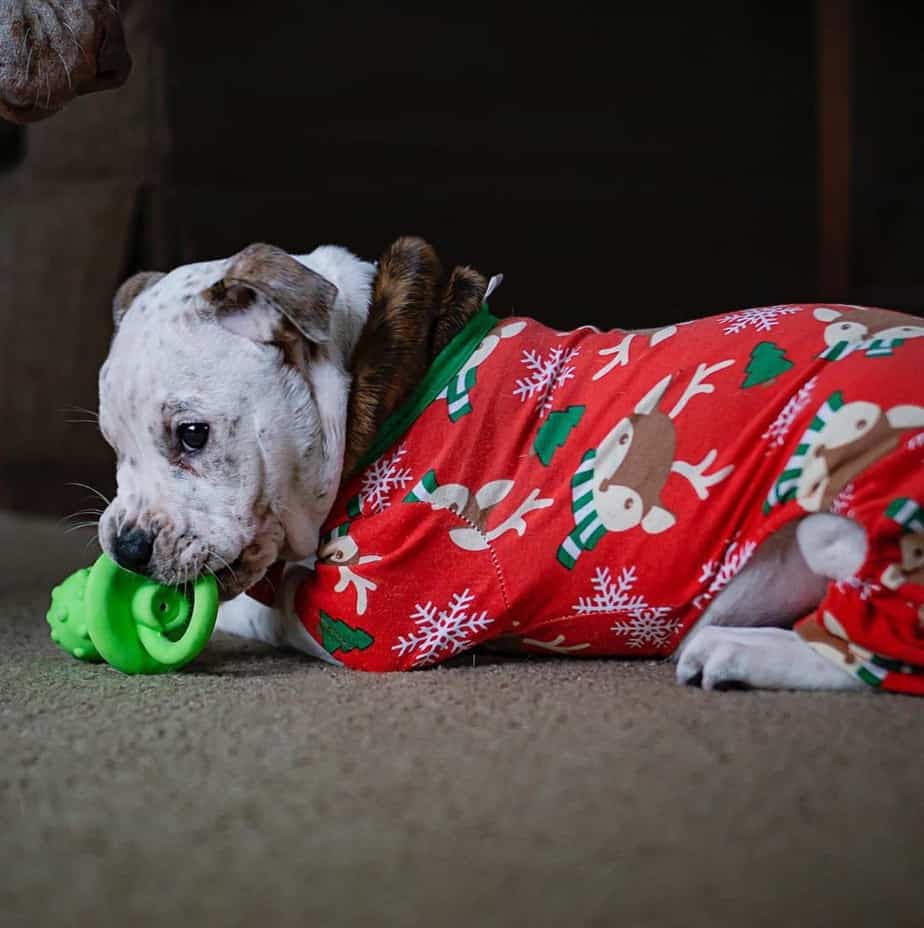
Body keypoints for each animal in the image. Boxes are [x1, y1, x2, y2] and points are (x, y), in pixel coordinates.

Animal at [97, 236, 924, 692]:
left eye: (193, 435)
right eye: (113, 447)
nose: (125, 546)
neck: (372, 378)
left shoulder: (370, 620)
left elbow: (261, 607)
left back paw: (741, 650)